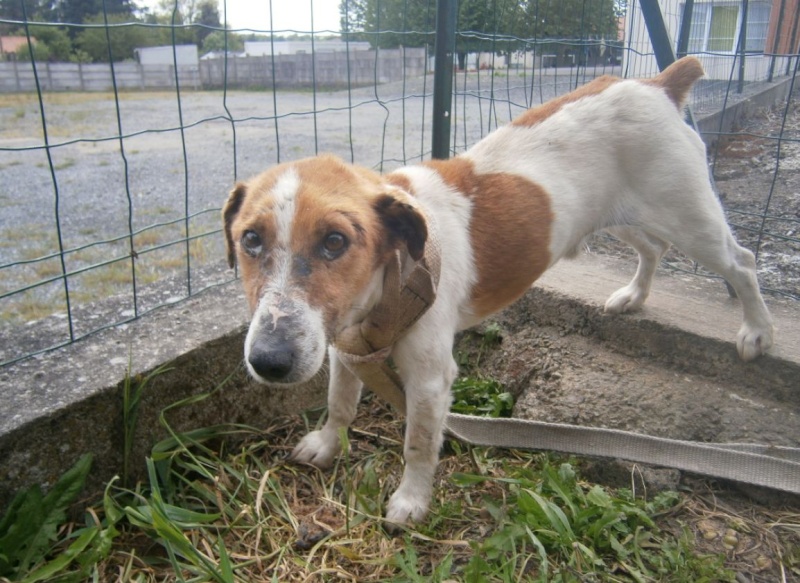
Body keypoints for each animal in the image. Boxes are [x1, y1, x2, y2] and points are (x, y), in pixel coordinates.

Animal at [222, 57, 772, 528]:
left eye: (336, 241)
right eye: (250, 240)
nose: (268, 361)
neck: (386, 281)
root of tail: (656, 83)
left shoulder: (429, 379)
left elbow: (418, 444)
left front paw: (411, 500)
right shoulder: (342, 347)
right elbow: (339, 404)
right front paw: (326, 444)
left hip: (690, 219)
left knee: (743, 263)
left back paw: (757, 332)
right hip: (621, 217)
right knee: (653, 248)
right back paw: (633, 295)